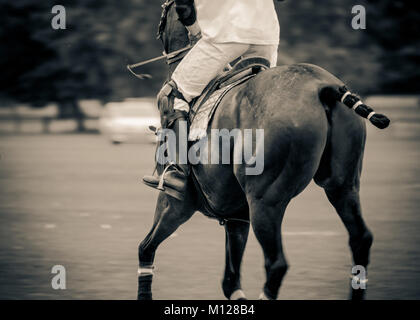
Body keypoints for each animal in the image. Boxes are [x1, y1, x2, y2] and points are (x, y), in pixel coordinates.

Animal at [138, 0, 390, 300]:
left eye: (164, 14)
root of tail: (323, 85)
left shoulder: (175, 202)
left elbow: (146, 248)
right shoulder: (237, 215)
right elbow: (230, 282)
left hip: (265, 200)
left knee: (277, 263)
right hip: (342, 185)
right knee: (361, 238)